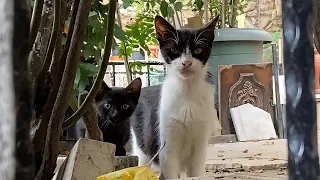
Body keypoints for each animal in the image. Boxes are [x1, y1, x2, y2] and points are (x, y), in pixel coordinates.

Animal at [130, 15, 220, 179]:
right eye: (174, 49)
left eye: (198, 49)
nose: (187, 63)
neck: (187, 90)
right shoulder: (167, 146)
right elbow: (170, 169)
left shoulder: (201, 142)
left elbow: (196, 171)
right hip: (142, 147)